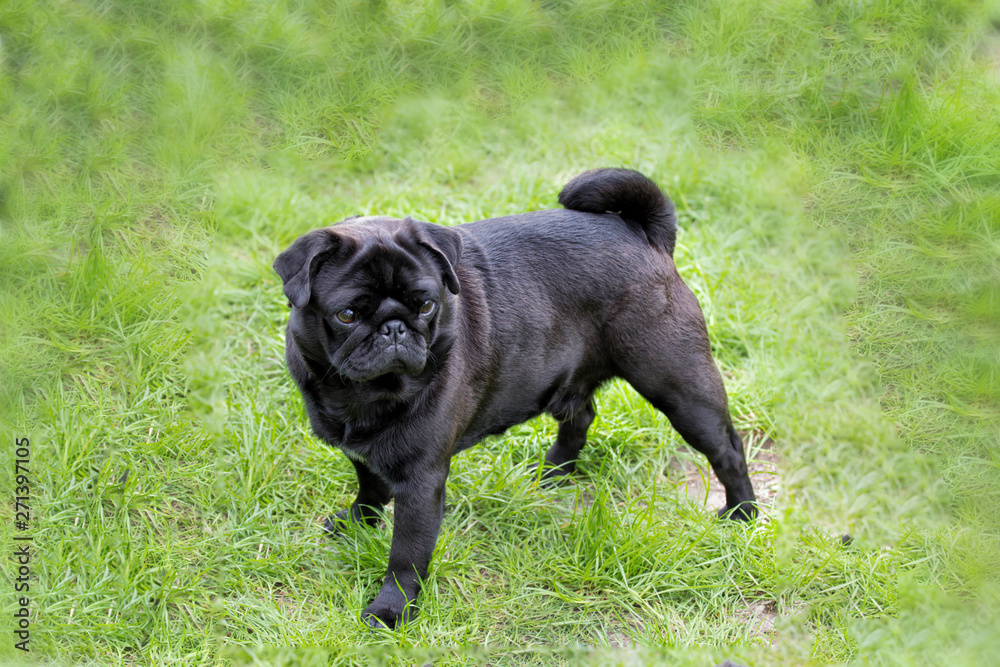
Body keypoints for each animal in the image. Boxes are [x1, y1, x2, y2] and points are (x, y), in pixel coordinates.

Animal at [274, 170, 756, 628]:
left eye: (426, 305)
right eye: (347, 314)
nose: (394, 327)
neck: (362, 393)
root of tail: (643, 234)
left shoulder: (421, 480)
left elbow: (406, 556)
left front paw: (392, 610)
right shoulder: (362, 452)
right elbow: (370, 487)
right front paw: (359, 524)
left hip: (678, 385)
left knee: (727, 449)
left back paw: (742, 513)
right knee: (581, 416)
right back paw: (554, 472)